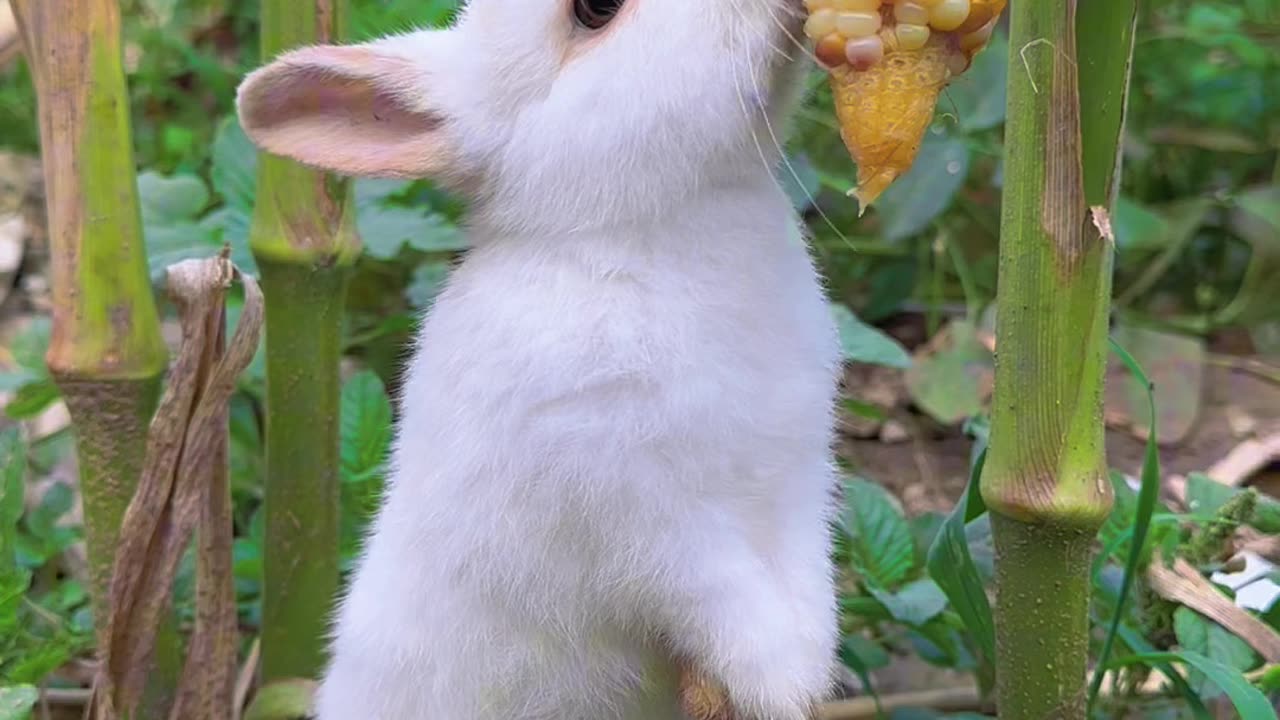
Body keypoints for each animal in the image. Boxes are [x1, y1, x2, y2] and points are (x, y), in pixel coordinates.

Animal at [235, 1, 844, 717]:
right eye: (594, 12)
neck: (637, 232)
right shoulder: (642, 517)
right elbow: (721, 597)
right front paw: (780, 686)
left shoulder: (798, 478)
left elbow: (807, 580)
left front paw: (809, 674)